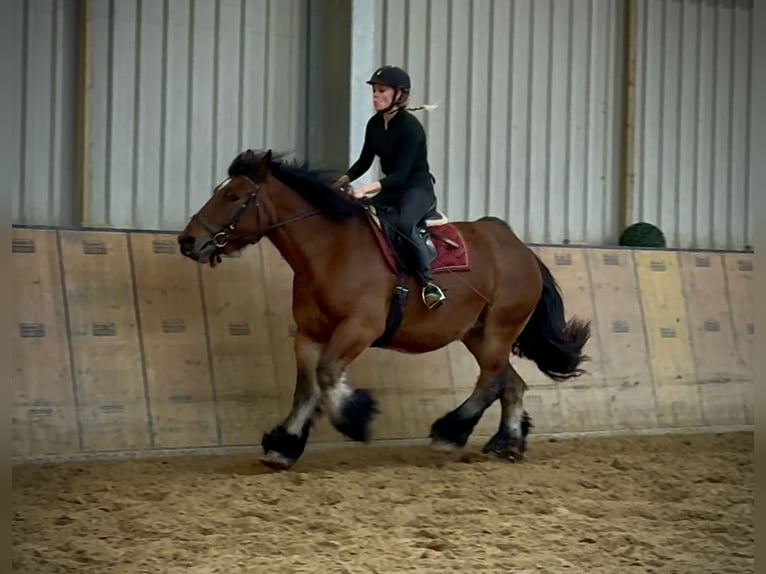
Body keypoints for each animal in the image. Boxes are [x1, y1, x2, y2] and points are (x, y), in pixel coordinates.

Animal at [178, 149, 590, 470]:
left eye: (234, 196)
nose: (187, 241)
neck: (332, 250)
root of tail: (520, 249)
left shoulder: (359, 328)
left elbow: (328, 376)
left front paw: (357, 419)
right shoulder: (309, 335)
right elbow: (307, 388)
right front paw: (284, 445)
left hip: (498, 330)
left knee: (491, 381)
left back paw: (449, 433)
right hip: (477, 334)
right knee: (510, 382)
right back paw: (506, 443)